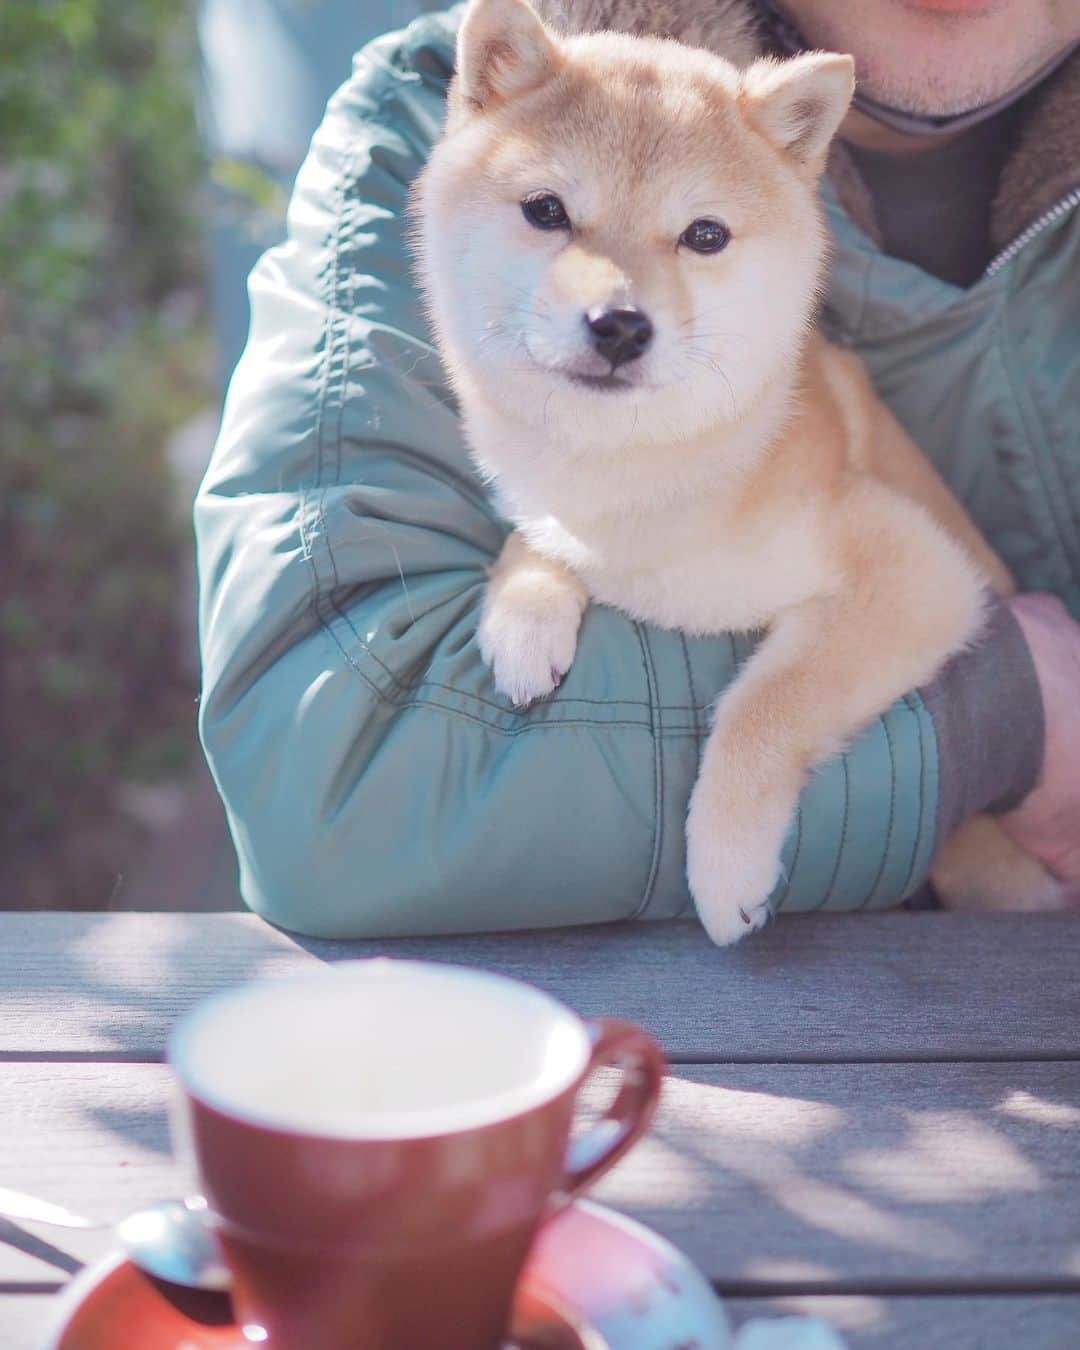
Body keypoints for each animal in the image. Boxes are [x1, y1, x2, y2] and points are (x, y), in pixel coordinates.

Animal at [410, 0, 1053, 939]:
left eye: (704, 235)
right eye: (546, 210)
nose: (618, 324)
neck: (650, 479)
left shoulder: (915, 570)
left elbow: (763, 704)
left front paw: (724, 866)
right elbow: (536, 536)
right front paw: (524, 612)